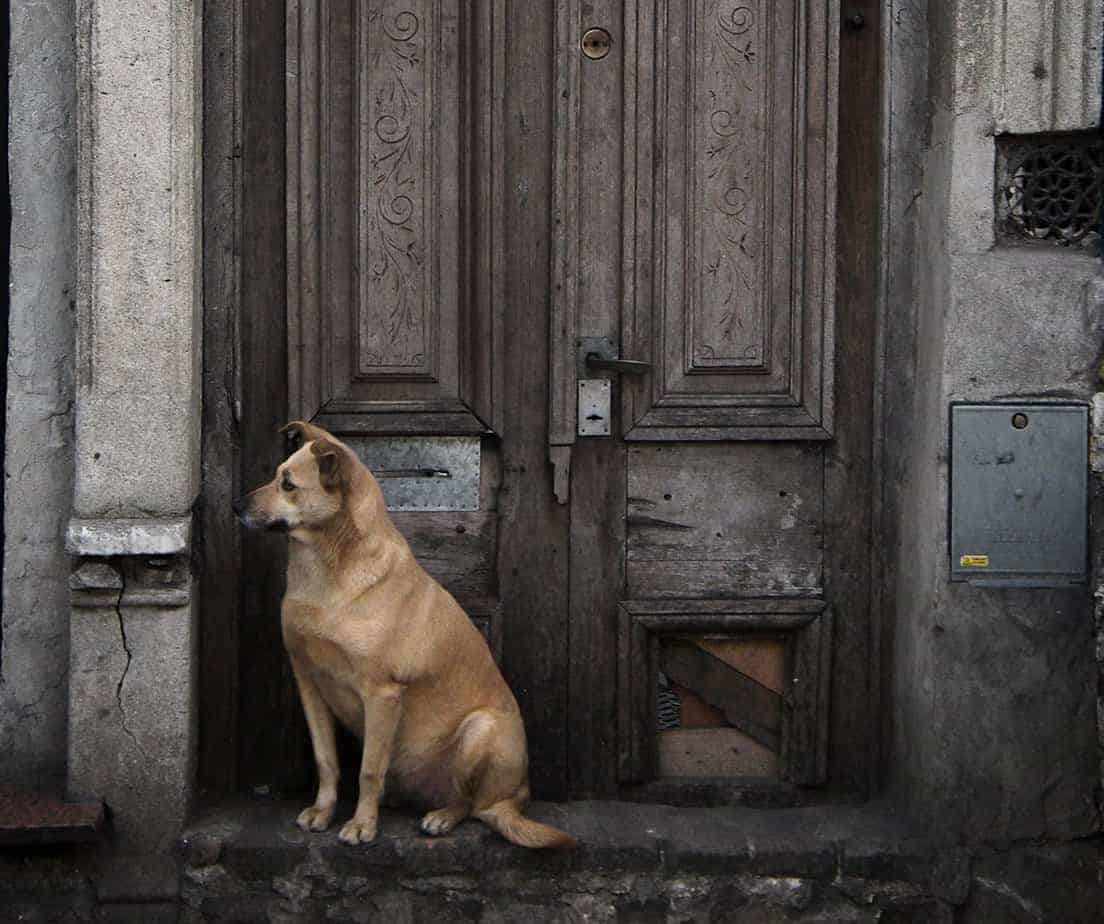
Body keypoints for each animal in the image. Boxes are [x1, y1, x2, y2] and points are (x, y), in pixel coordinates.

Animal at [234, 421, 578, 847]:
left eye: (288, 484)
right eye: (277, 476)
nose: (236, 506)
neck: (330, 570)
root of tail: (516, 797)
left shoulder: (382, 693)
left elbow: (367, 770)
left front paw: (362, 824)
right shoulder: (309, 683)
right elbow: (326, 760)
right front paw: (323, 812)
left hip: (480, 732)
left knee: (471, 805)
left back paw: (442, 817)